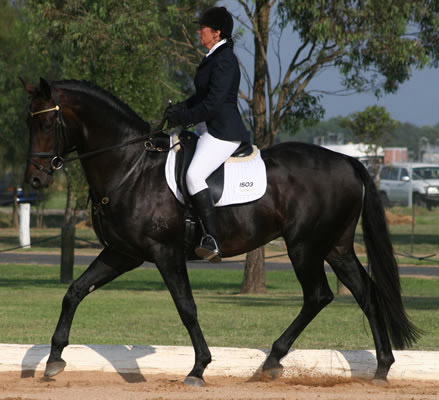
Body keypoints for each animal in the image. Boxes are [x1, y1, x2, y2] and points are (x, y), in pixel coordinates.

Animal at [21, 76, 420, 386]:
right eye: (30, 124)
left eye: (46, 125)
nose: (36, 180)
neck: (131, 167)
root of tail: (349, 162)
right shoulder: (124, 253)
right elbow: (74, 292)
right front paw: (54, 359)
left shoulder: (164, 253)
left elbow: (186, 307)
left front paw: (198, 369)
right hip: (336, 247)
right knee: (365, 293)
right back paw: (381, 368)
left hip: (304, 246)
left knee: (318, 295)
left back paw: (273, 360)